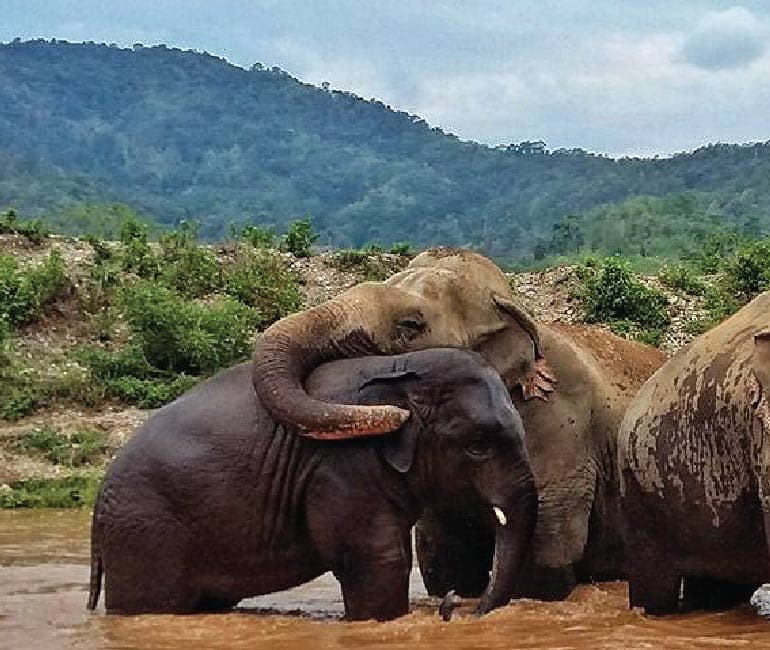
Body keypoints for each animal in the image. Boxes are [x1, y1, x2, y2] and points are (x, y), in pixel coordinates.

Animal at [87, 348, 537, 621]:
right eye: (478, 446)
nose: (455, 603)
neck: (398, 365)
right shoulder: (341, 467)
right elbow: (378, 559)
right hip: (144, 533)